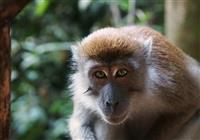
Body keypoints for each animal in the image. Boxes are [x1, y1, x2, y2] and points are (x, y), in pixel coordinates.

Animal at [68, 25, 199, 140]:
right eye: (100, 74)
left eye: (122, 72)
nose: (112, 102)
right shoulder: (79, 88)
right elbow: (79, 123)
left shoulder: (167, 81)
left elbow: (189, 104)